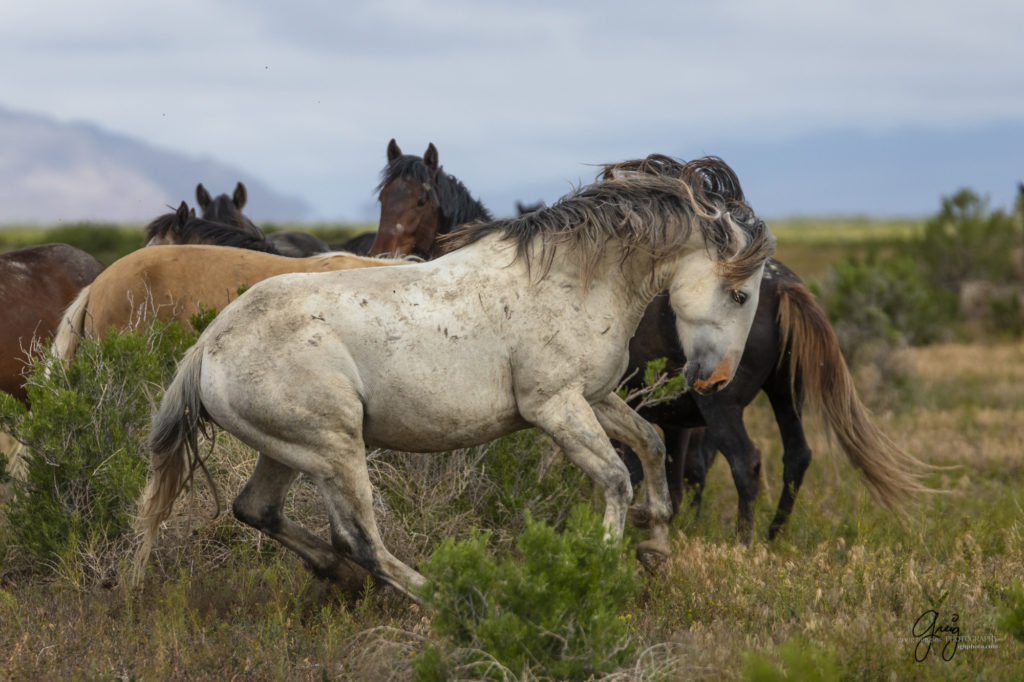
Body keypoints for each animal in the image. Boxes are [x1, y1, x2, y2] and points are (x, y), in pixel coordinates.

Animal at [138, 156, 774, 598]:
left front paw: (655, 545)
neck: (571, 279)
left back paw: (337, 576)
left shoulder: (592, 397)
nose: (713, 381)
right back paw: (445, 598)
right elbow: (617, 478)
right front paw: (602, 568)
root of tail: (207, 347)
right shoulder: (554, 407)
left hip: (289, 449)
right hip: (334, 448)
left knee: (258, 510)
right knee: (361, 539)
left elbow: (648, 444)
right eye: (740, 295)